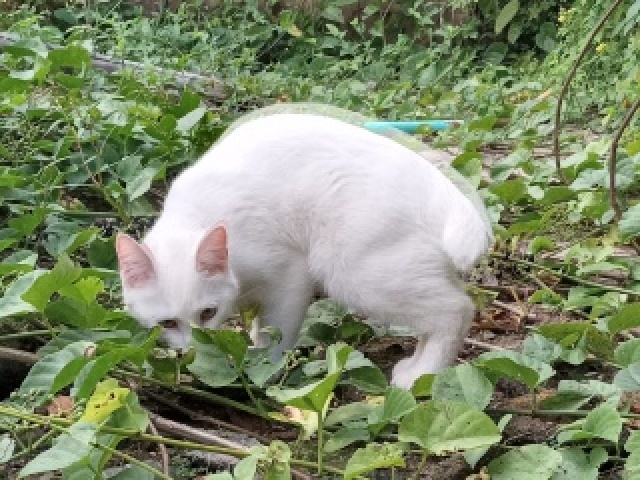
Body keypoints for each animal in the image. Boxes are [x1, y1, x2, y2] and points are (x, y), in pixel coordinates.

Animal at [115, 113, 492, 390]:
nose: (194, 350)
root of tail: (442, 188)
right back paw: (416, 367)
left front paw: (261, 370)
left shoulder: (289, 275)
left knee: (456, 310)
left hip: (353, 274)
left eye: (208, 313)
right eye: (167, 323)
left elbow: (276, 333)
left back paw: (422, 375)